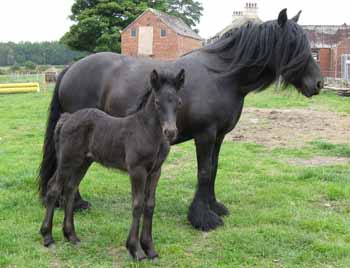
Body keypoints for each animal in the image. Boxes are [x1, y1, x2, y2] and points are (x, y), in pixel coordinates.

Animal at [39, 68, 185, 260]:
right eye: (157, 102)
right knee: (54, 188)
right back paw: (48, 237)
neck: (146, 131)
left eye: (178, 102)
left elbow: (150, 204)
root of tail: (67, 118)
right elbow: (137, 204)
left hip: (83, 162)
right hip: (67, 160)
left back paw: (71, 236)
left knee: (70, 188)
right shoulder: (137, 170)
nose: (170, 132)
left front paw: (150, 249)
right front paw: (135, 249)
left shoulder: (155, 171)